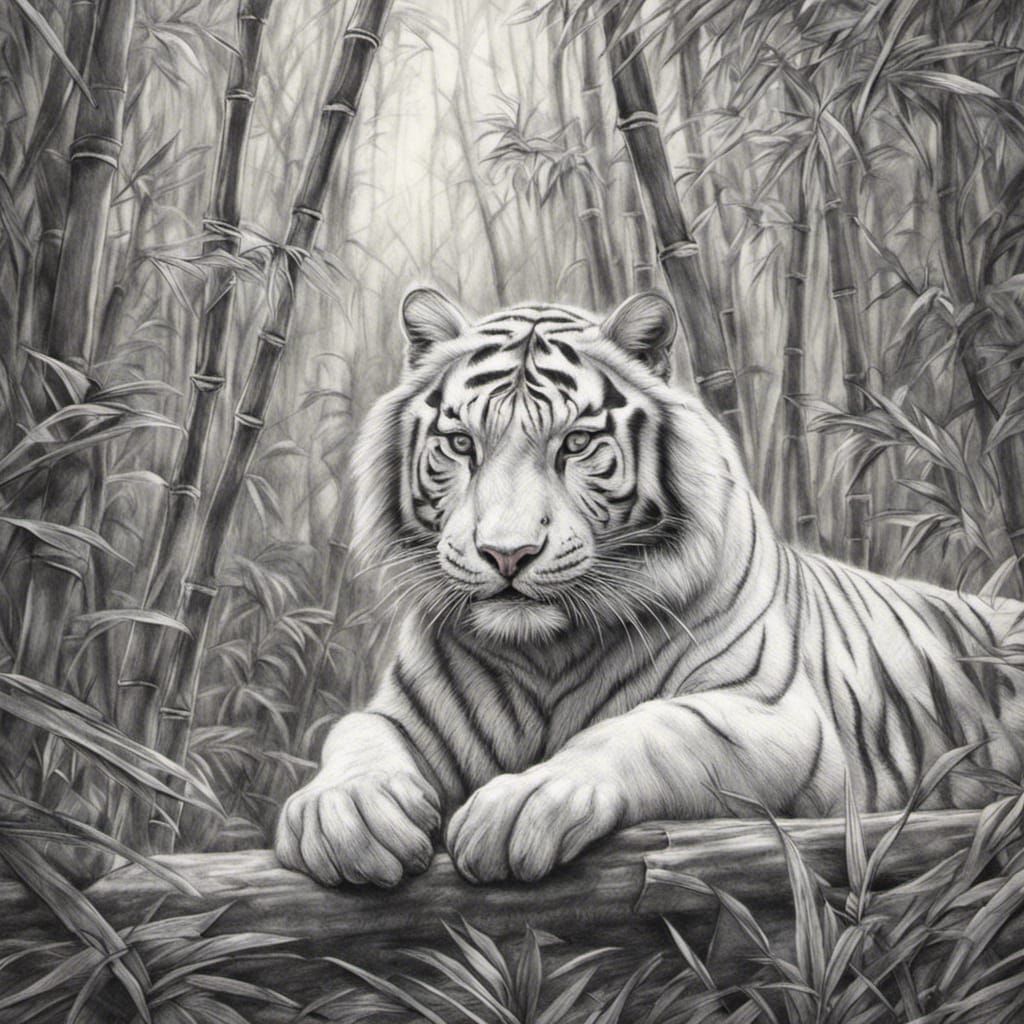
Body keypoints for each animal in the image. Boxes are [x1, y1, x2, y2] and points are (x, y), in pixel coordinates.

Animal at [275, 287, 1024, 888]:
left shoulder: (780, 719)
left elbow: (651, 728)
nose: (507, 554)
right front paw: (345, 812)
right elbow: (355, 732)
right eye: (461, 446)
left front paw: (522, 803)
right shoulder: (406, 713)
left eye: (575, 444)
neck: (541, 653)